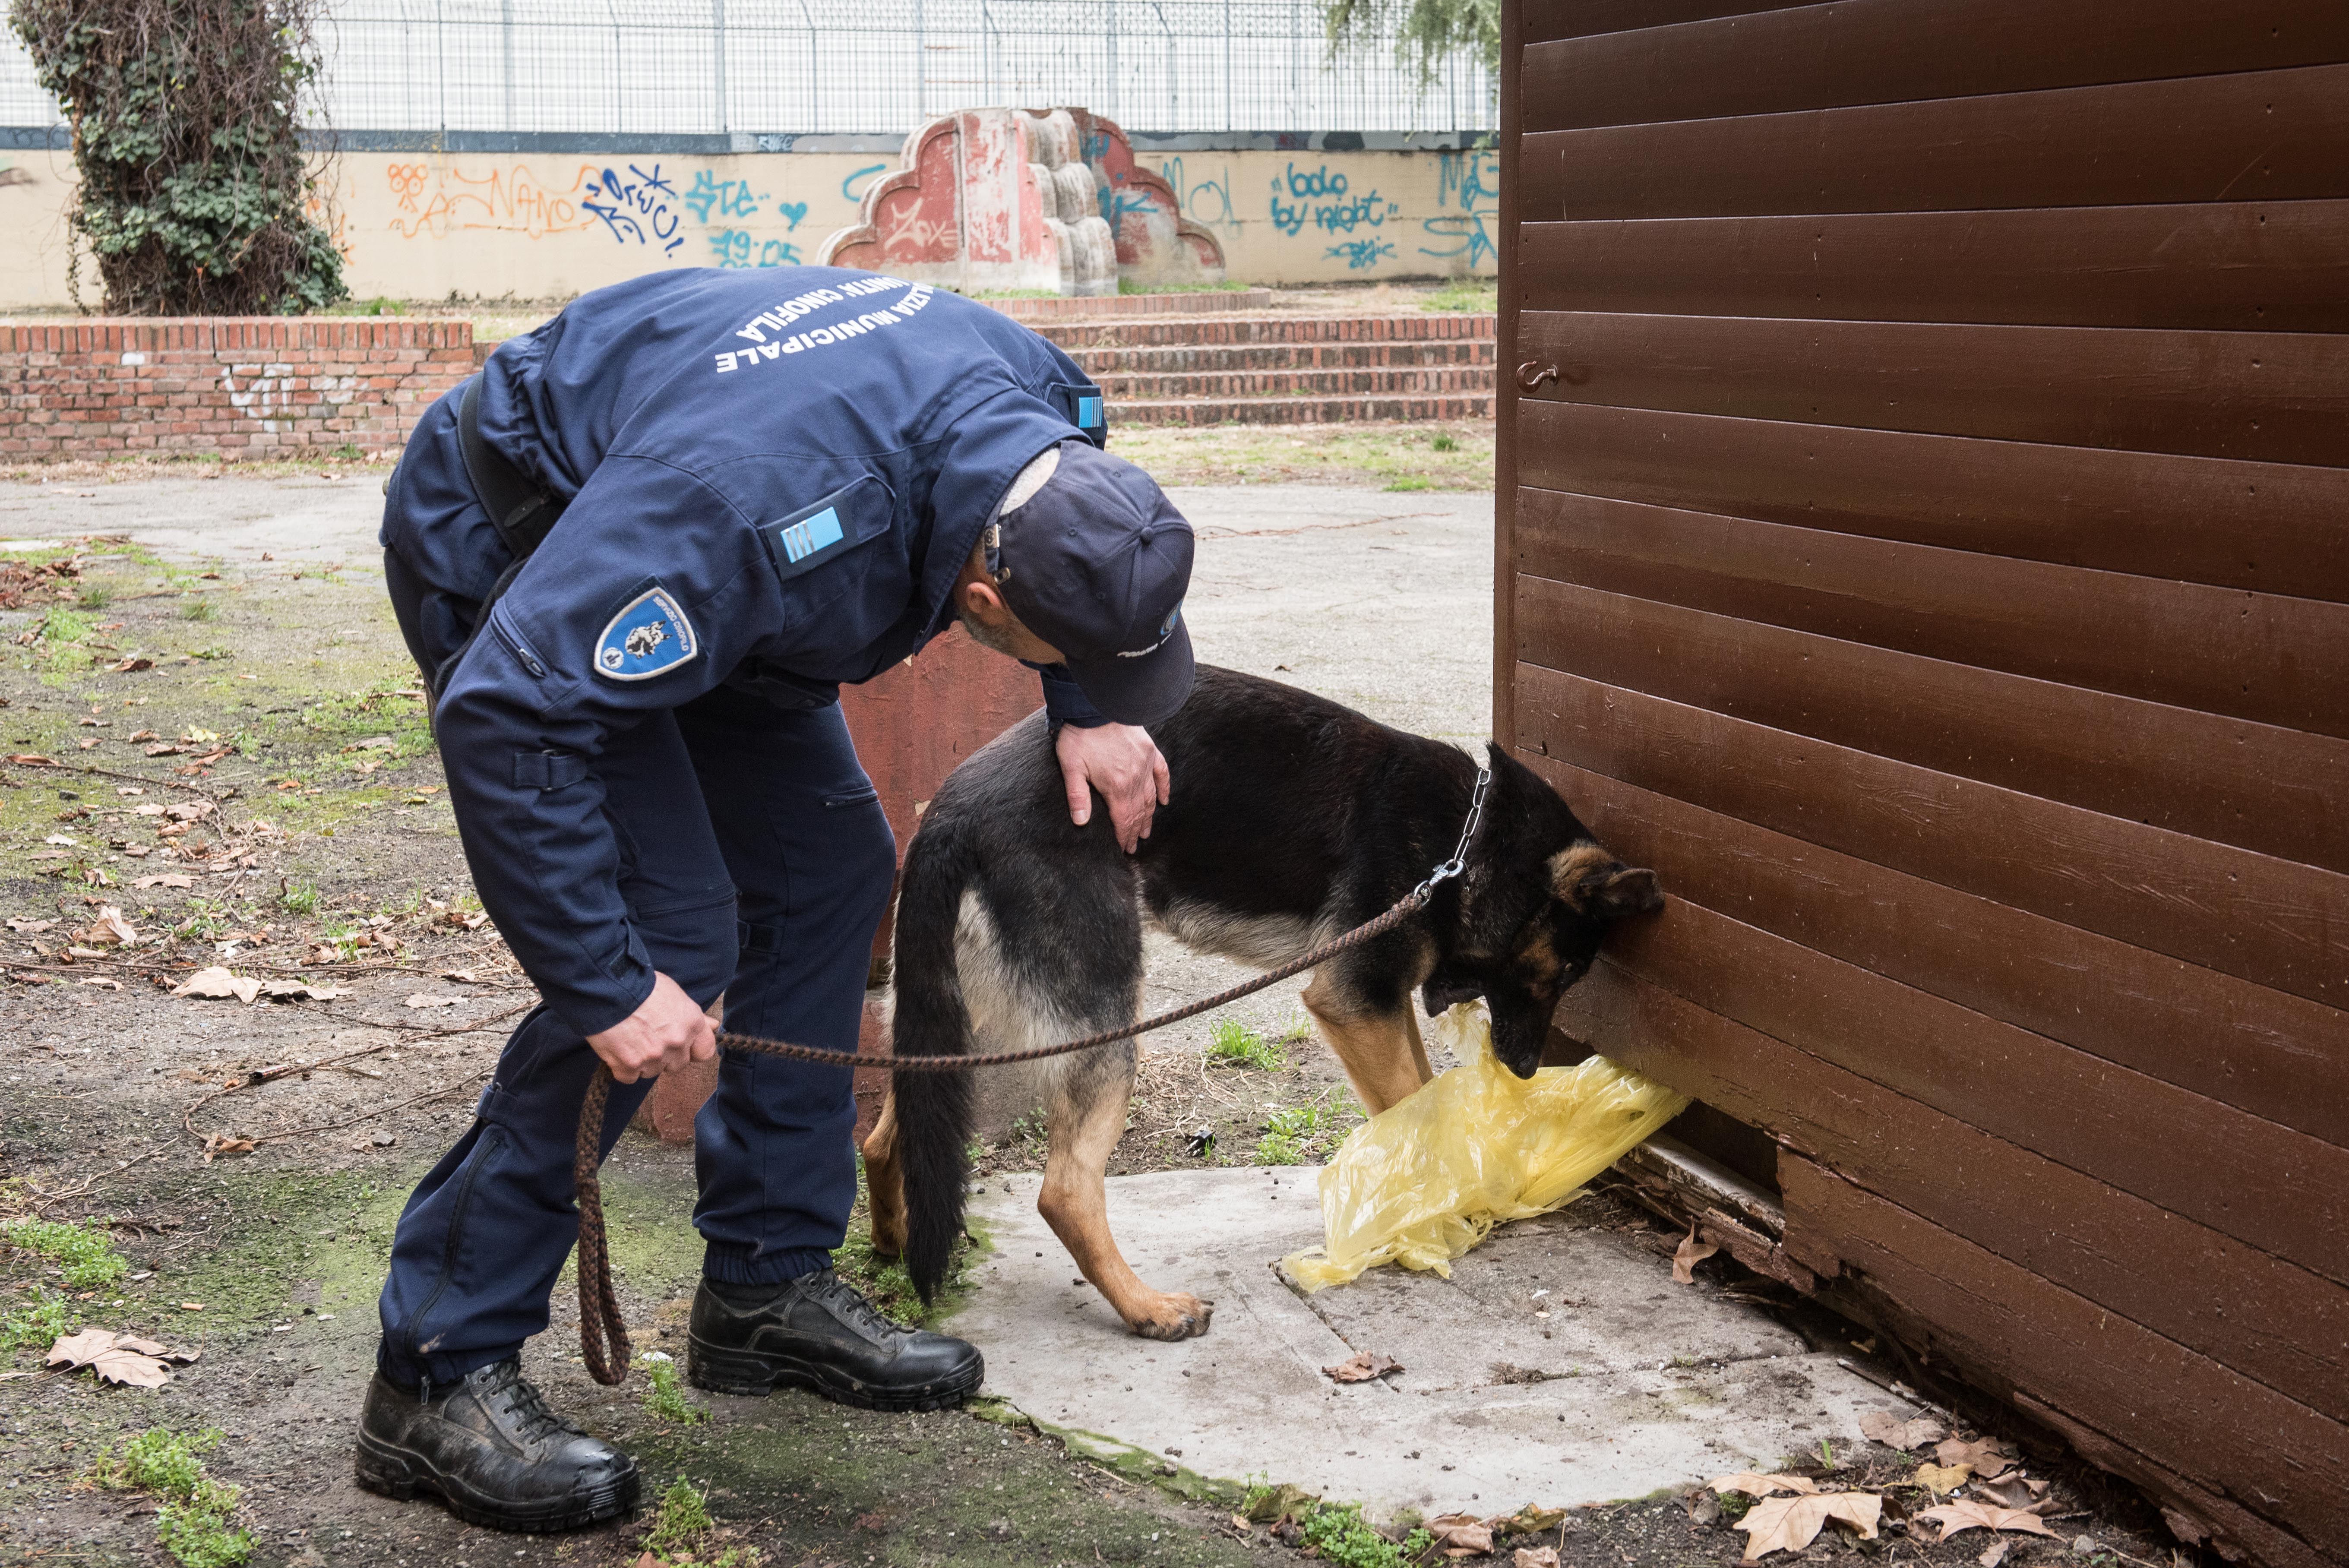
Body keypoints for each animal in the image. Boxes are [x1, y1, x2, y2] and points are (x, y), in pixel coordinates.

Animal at [860, 667, 1653, 1343]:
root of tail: (949, 814)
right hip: (1095, 1031)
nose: (1522, 1069)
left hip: (967, 1024)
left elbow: (1415, 1095)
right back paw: (1147, 1308)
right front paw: (1432, 1211)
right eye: (1572, 967)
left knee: (889, 1137)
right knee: (1064, 1192)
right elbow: (1412, 1107)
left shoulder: (1377, 1006)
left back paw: (895, 1240)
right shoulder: (1354, 1002)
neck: (1466, 837)